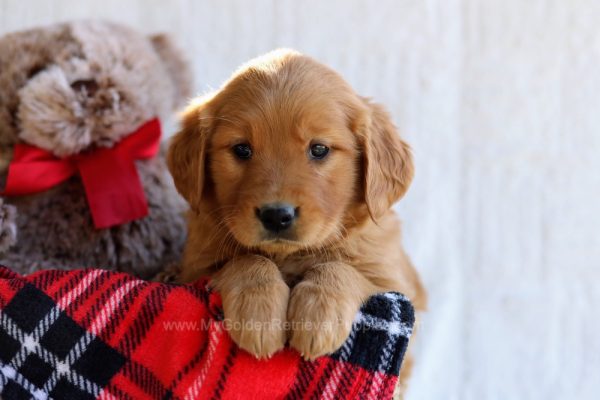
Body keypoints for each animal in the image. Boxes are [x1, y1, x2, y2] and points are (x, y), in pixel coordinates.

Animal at [166, 49, 424, 378]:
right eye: (242, 149)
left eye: (319, 149)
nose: (277, 215)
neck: (288, 256)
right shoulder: (195, 269)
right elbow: (247, 259)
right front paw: (259, 315)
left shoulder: (395, 286)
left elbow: (342, 267)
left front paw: (319, 315)